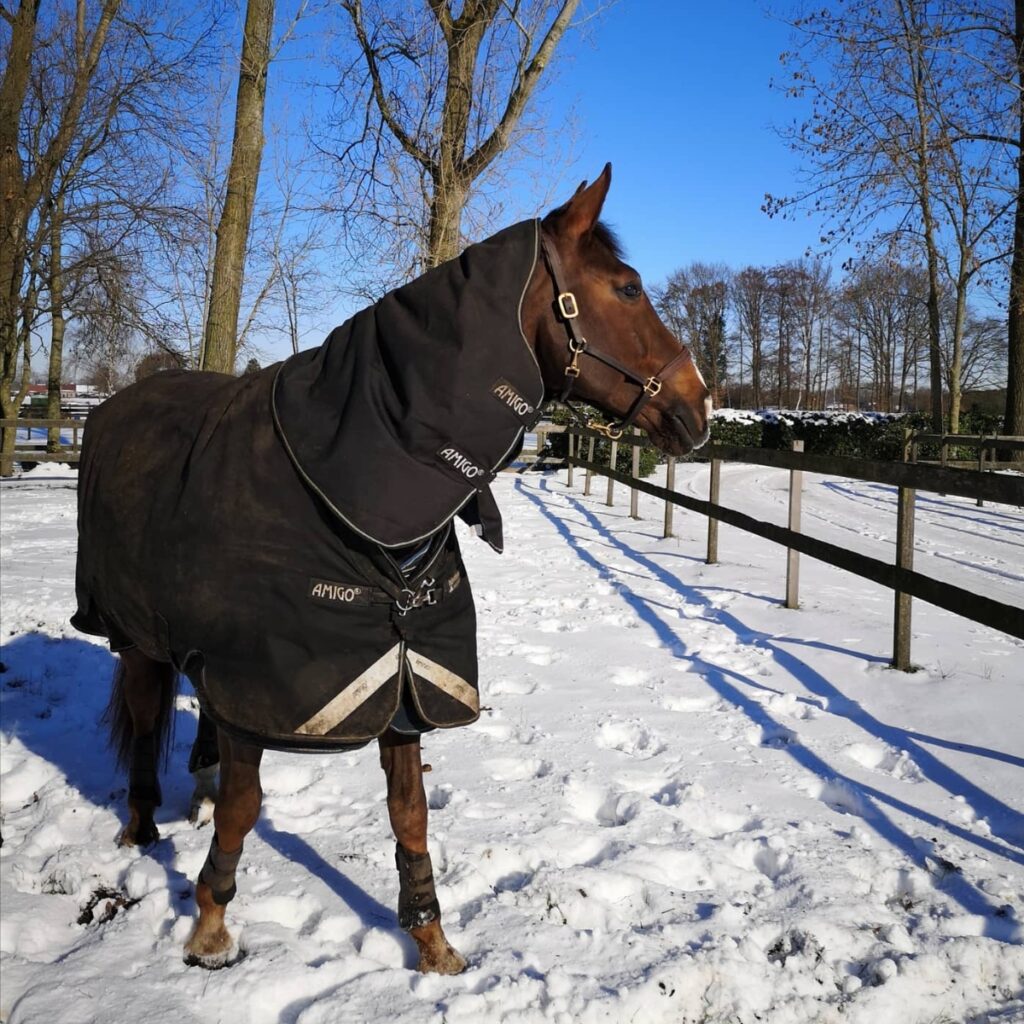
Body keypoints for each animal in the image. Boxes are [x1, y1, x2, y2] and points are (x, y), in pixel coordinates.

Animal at [71, 164, 712, 974]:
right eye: (627, 288)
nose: (702, 407)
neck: (345, 496)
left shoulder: (405, 679)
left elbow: (409, 812)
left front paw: (432, 941)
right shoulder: (265, 681)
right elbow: (248, 808)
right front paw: (210, 926)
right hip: (136, 637)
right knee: (145, 712)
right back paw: (141, 827)